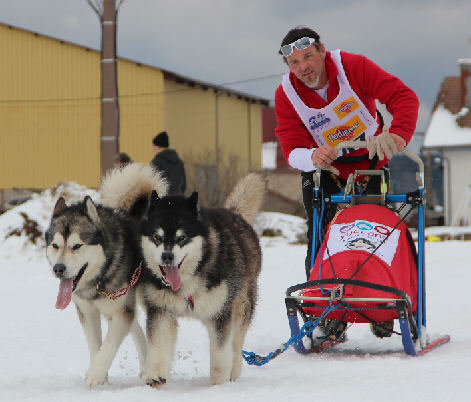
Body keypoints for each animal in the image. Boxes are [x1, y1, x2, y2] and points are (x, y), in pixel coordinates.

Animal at [46, 163, 168, 386]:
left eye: (77, 246)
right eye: (55, 245)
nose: (58, 268)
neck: (98, 280)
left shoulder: (120, 311)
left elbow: (109, 344)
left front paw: (95, 374)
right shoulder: (87, 311)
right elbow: (96, 345)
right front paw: (101, 376)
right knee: (136, 328)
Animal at [139, 173, 266, 386]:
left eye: (182, 238)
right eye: (157, 237)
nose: (167, 256)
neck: (188, 281)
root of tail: (234, 213)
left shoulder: (220, 314)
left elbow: (220, 353)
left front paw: (218, 384)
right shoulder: (161, 310)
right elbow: (159, 343)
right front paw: (155, 374)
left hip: (241, 306)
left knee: (236, 344)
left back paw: (234, 370)